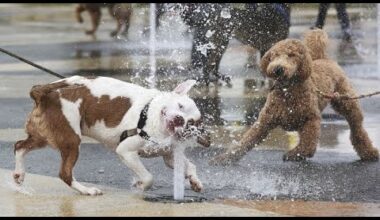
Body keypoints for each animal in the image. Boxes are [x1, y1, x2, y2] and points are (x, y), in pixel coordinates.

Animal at [14, 76, 211, 196]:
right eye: (180, 106)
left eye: (191, 123)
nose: (179, 119)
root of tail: (41, 94)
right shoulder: (125, 151)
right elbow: (148, 177)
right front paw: (140, 185)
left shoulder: (169, 155)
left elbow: (190, 166)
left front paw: (195, 182)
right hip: (71, 140)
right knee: (65, 173)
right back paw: (87, 190)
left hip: (44, 136)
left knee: (19, 146)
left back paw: (18, 174)